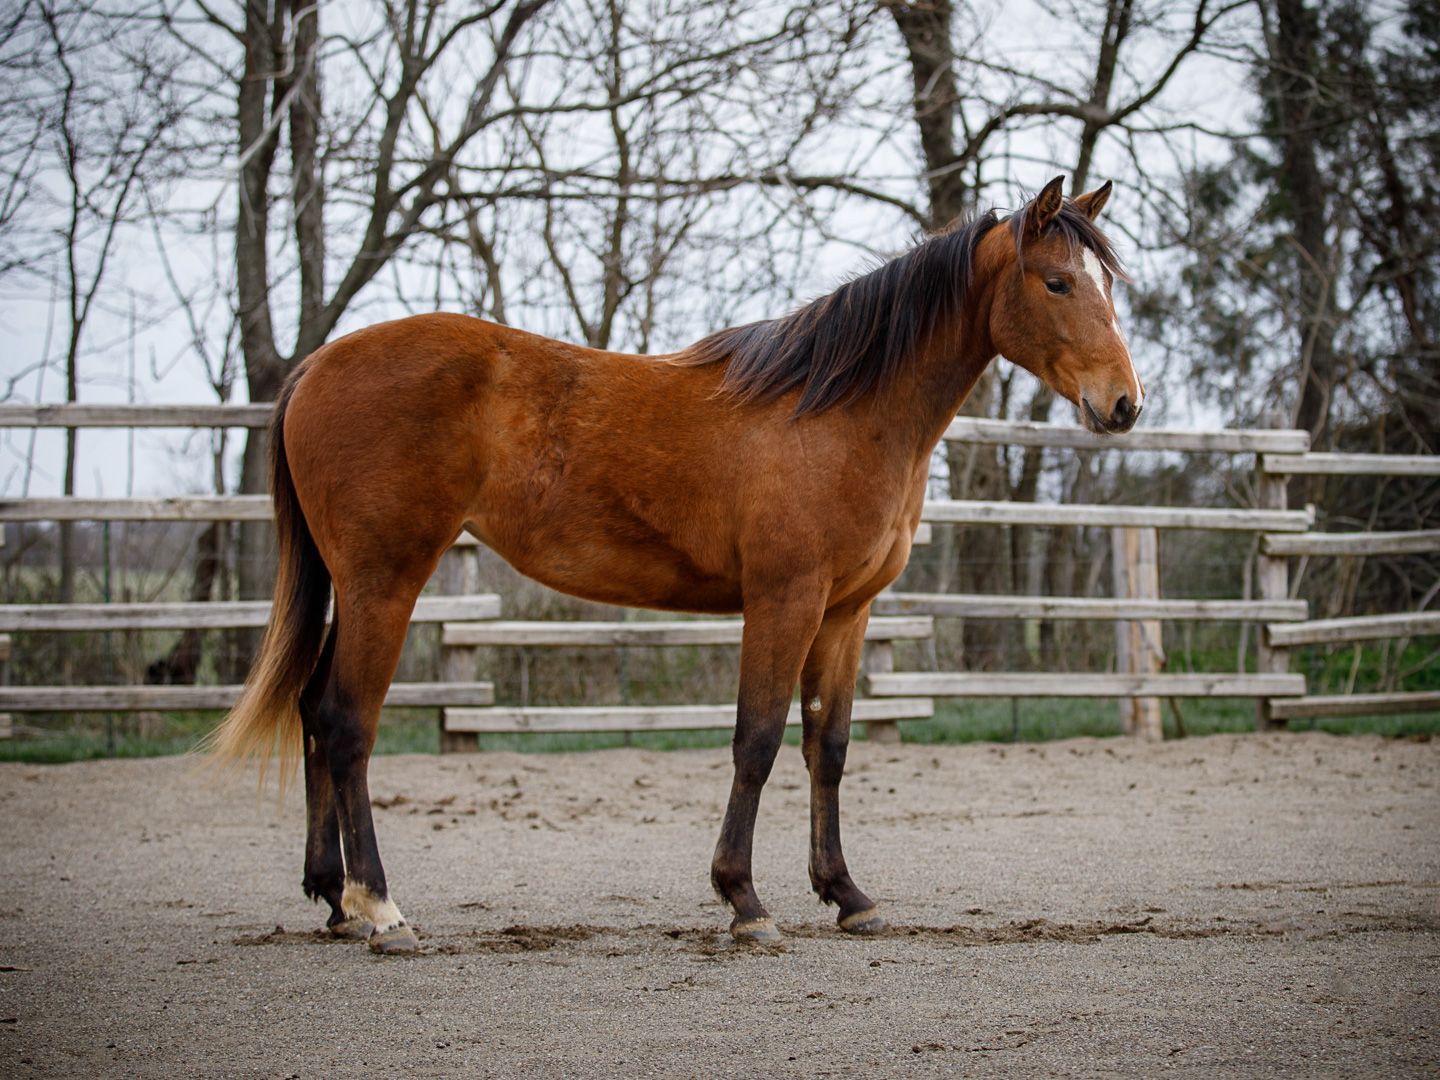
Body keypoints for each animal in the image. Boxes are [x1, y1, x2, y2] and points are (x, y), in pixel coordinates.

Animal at [211, 176, 1142, 953]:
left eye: (1107, 286)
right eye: (1056, 284)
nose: (1124, 404)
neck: (839, 410)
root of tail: (316, 366)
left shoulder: (846, 612)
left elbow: (829, 748)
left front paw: (846, 895)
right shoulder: (784, 600)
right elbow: (757, 741)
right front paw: (745, 902)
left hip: (359, 587)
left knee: (311, 712)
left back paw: (333, 901)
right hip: (384, 583)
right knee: (345, 723)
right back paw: (380, 908)